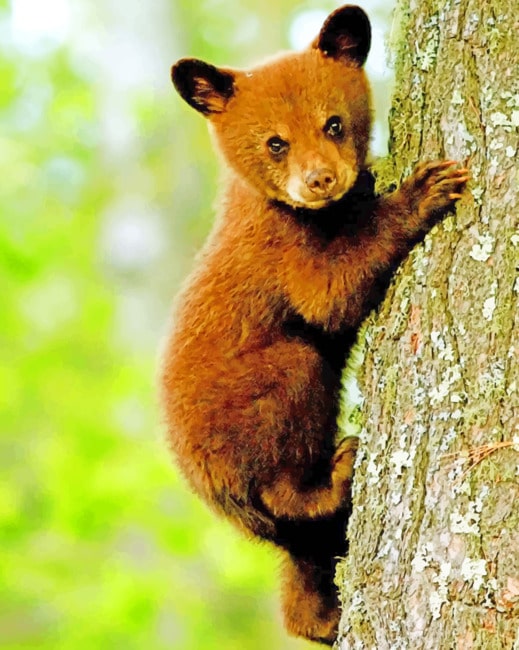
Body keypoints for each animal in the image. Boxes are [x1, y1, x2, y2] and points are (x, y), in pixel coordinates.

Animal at [160, 5, 468, 645]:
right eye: (275, 143)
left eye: (334, 124)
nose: (321, 180)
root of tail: (214, 496)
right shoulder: (281, 247)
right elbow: (329, 293)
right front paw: (424, 189)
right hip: (252, 410)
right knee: (288, 434)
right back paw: (337, 475)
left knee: (303, 572)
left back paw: (320, 616)